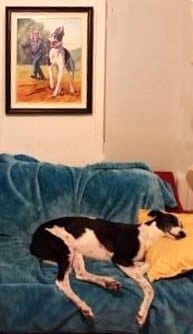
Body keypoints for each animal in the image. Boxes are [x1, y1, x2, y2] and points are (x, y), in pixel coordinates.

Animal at [29, 211, 185, 326]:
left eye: (181, 225)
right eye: (171, 221)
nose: (184, 234)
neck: (146, 235)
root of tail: (33, 241)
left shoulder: (132, 260)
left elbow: (147, 264)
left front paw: (137, 271)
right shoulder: (119, 258)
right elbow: (149, 288)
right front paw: (143, 313)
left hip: (75, 251)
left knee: (80, 273)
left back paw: (108, 283)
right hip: (64, 248)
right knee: (62, 281)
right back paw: (83, 306)